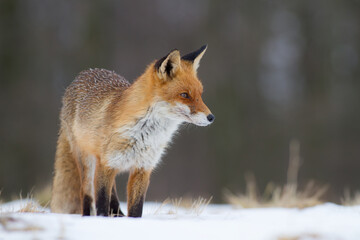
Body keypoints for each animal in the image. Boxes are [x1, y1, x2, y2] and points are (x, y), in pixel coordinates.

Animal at [50, 45, 214, 218]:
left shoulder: (142, 168)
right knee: (86, 193)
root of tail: (84, 73)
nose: (211, 117)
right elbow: (101, 203)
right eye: (184, 95)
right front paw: (102, 220)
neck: (144, 134)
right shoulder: (106, 164)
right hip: (87, 161)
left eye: (200, 94)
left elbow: (136, 209)